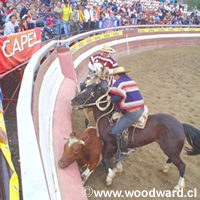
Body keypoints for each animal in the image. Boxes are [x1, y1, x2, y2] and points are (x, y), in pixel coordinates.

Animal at [71, 80, 200, 190]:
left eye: (87, 93)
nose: (72, 100)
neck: (108, 119)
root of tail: (181, 125)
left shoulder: (110, 144)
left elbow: (105, 160)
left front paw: (110, 177)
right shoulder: (116, 145)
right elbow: (117, 157)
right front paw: (118, 168)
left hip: (170, 149)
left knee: (182, 165)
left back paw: (178, 186)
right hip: (171, 149)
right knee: (173, 159)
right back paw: (165, 168)